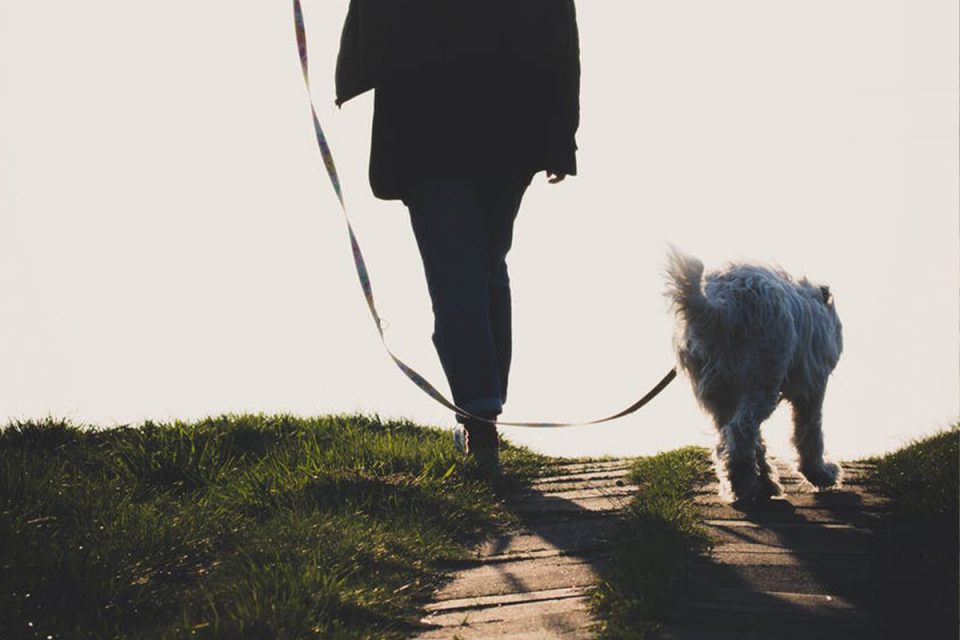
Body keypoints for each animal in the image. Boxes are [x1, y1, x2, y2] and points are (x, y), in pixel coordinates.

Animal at [664, 249, 844, 500]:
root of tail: (721, 307)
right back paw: (745, 485)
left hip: (719, 392)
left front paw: (768, 479)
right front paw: (822, 474)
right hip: (762, 380)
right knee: (740, 432)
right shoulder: (813, 389)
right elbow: (809, 434)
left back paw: (755, 484)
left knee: (730, 438)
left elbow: (760, 443)